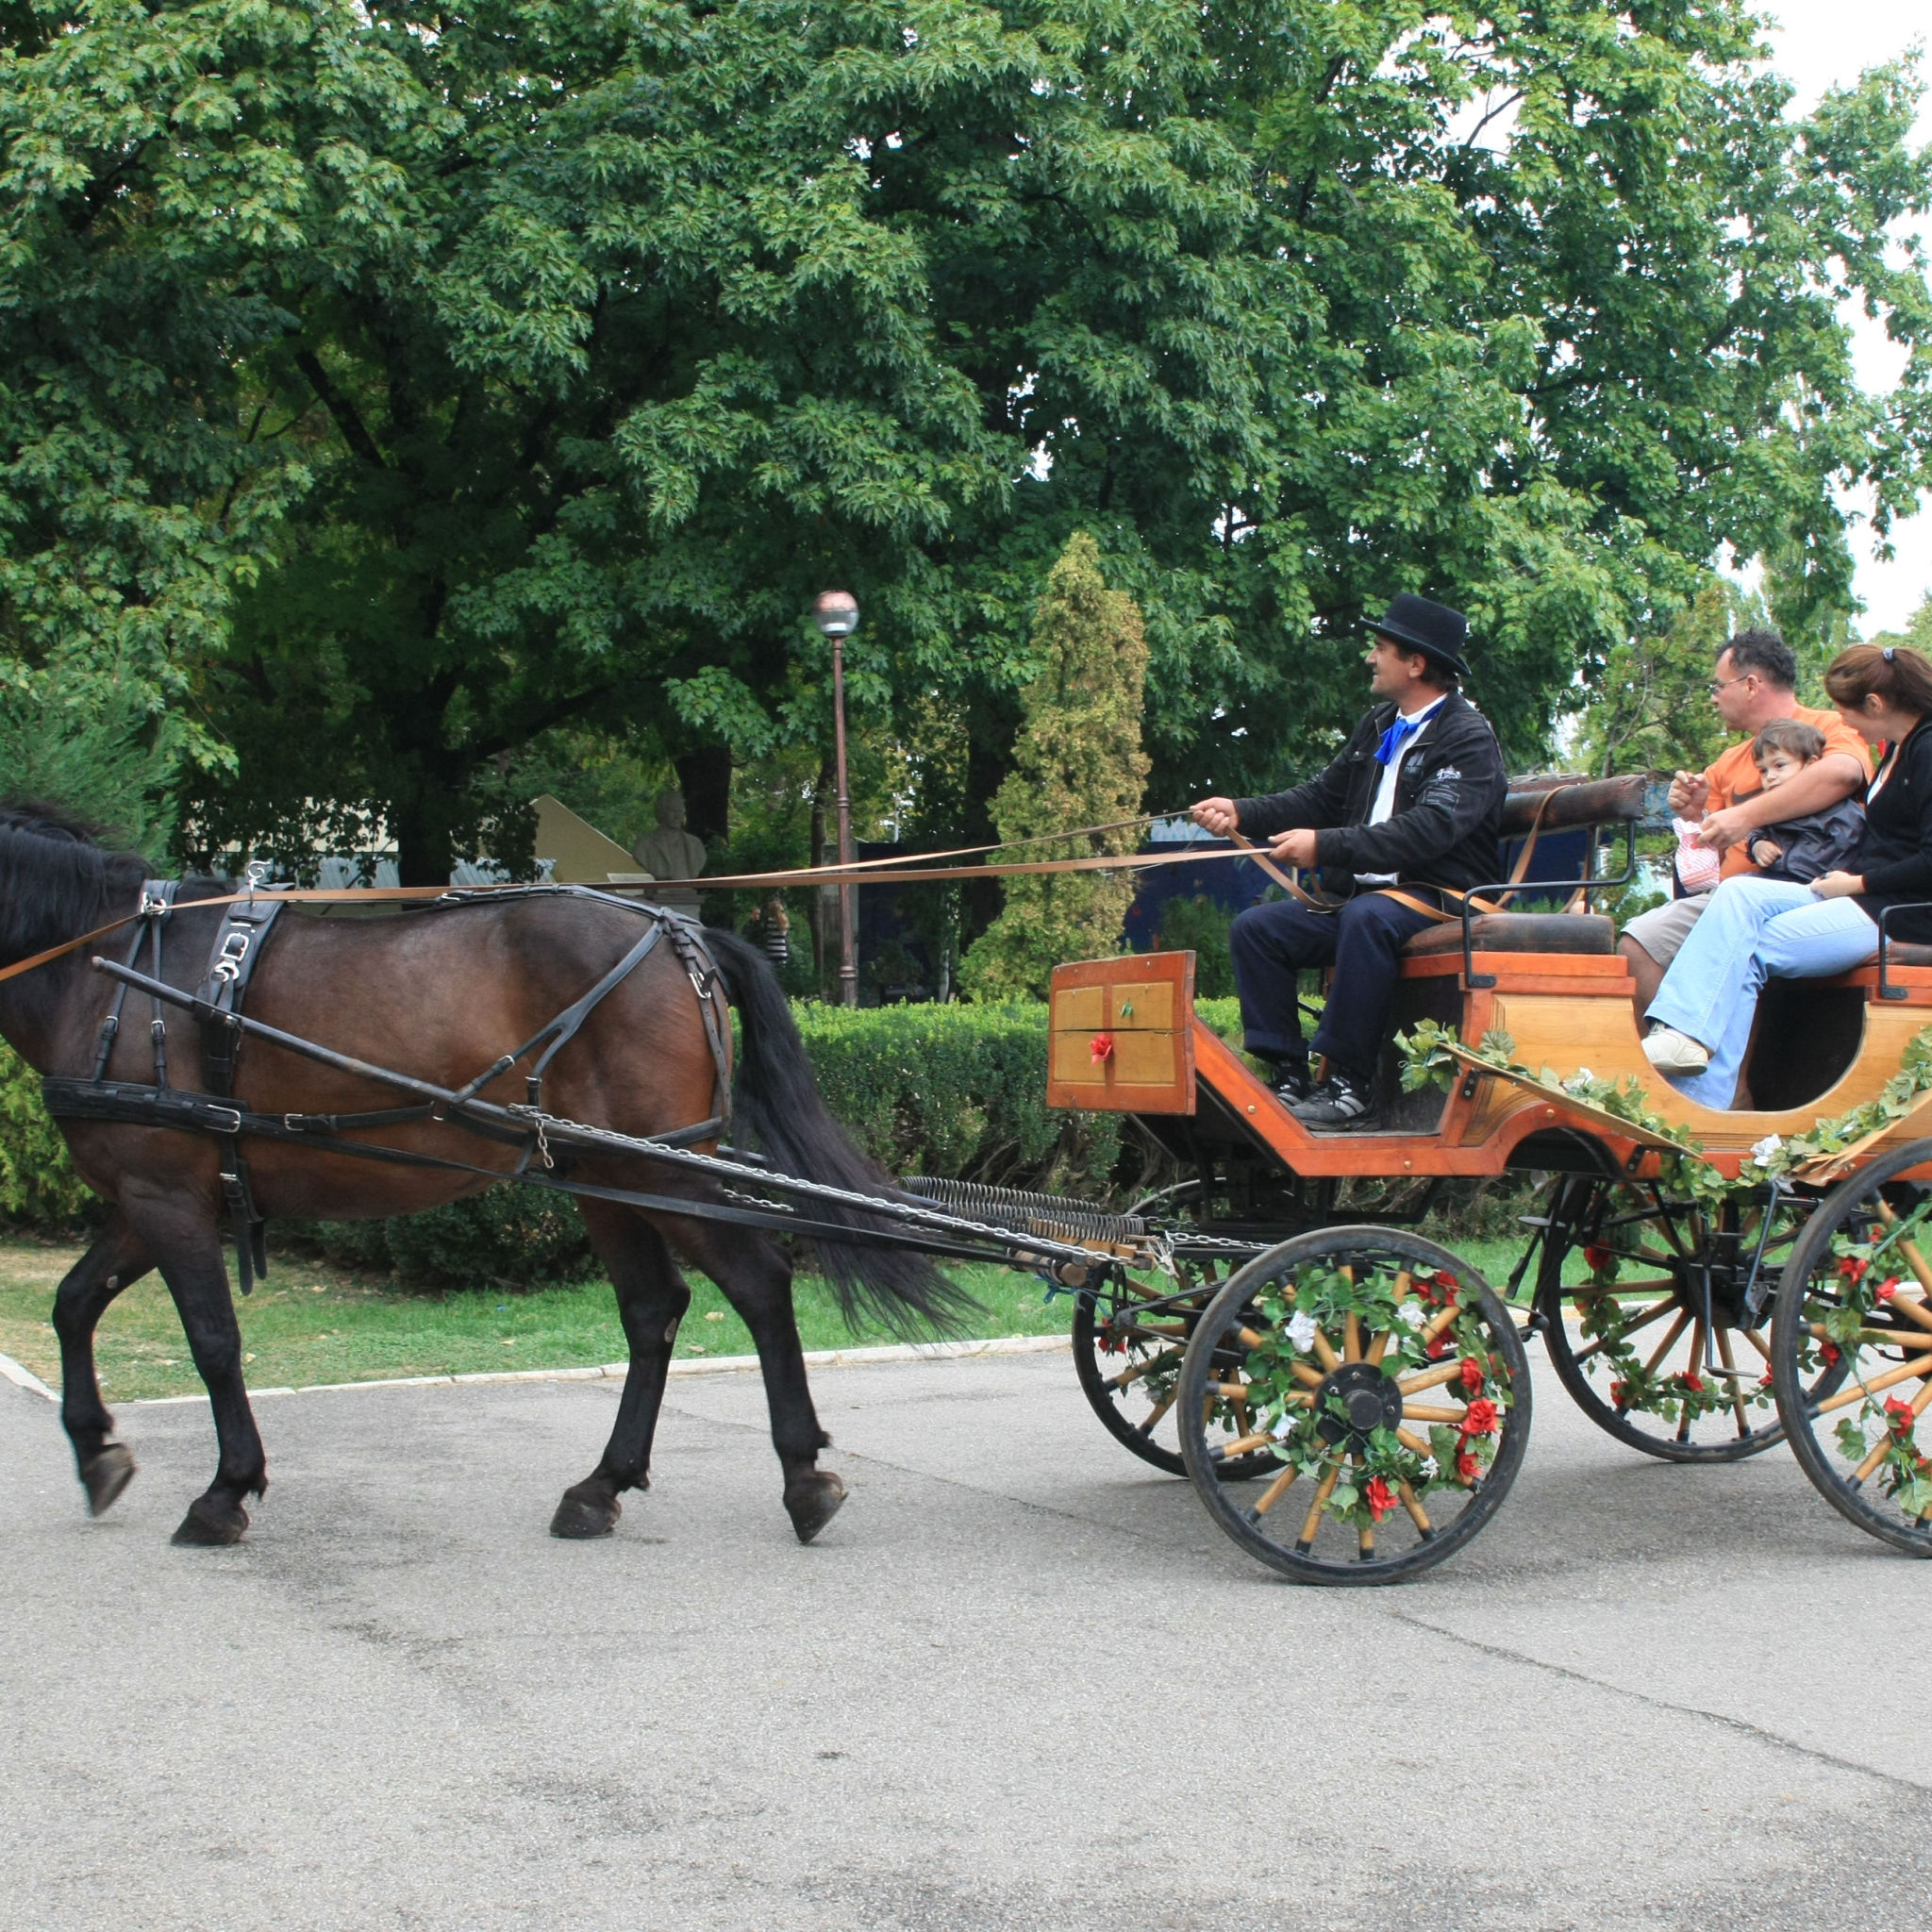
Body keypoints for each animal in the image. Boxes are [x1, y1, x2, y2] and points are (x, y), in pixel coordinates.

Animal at [0, 802, 964, 1548]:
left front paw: (224, 1490)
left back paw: (802, 1476)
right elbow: (75, 1303)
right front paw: (97, 1451)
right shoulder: (148, 1196)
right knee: (653, 1310)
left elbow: (211, 1340)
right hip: (605, 1171)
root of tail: (679, 935)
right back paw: (601, 1485)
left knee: (758, 1284)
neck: (111, 967)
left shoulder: (165, 1194)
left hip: (658, 1170)